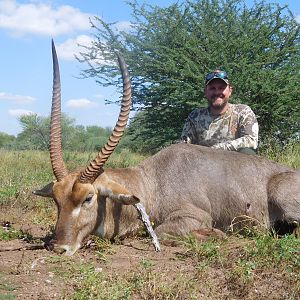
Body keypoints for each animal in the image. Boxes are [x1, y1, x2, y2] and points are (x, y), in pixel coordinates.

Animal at [34, 40, 298, 255]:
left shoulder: (196, 216)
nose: (59, 247)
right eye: (56, 200)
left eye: (88, 198)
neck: (152, 182)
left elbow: (162, 231)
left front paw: (216, 234)